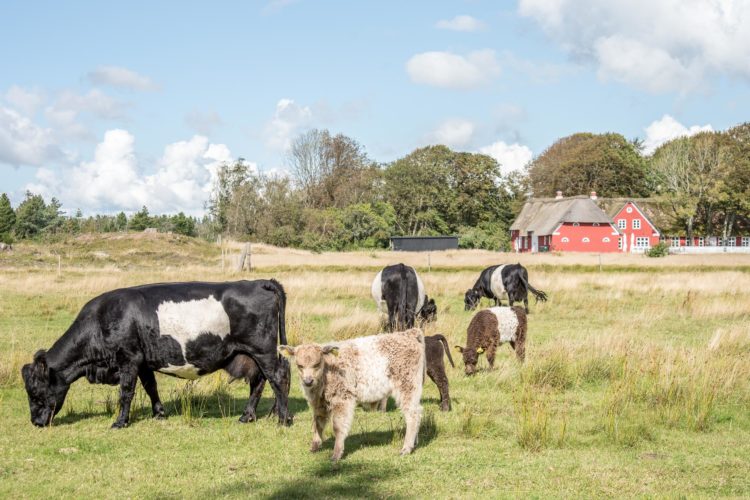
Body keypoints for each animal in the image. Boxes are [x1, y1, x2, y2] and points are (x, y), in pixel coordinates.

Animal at [19, 280, 290, 428]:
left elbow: (126, 392)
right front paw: (159, 413)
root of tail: (258, 282)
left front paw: (120, 422)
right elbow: (150, 387)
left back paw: (284, 419)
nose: (35, 422)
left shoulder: (128, 358)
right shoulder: (143, 361)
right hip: (253, 355)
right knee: (259, 381)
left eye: (35, 392)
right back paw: (248, 416)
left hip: (262, 349)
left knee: (278, 376)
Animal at [280, 328, 426, 460]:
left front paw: (336, 454)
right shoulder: (319, 403)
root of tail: (408, 333)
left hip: (407, 386)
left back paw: (406, 448)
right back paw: (414, 442)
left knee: (413, 414)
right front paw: (315, 446)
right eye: (299, 365)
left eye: (317, 364)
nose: (308, 381)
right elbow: (317, 423)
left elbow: (338, 427)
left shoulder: (342, 399)